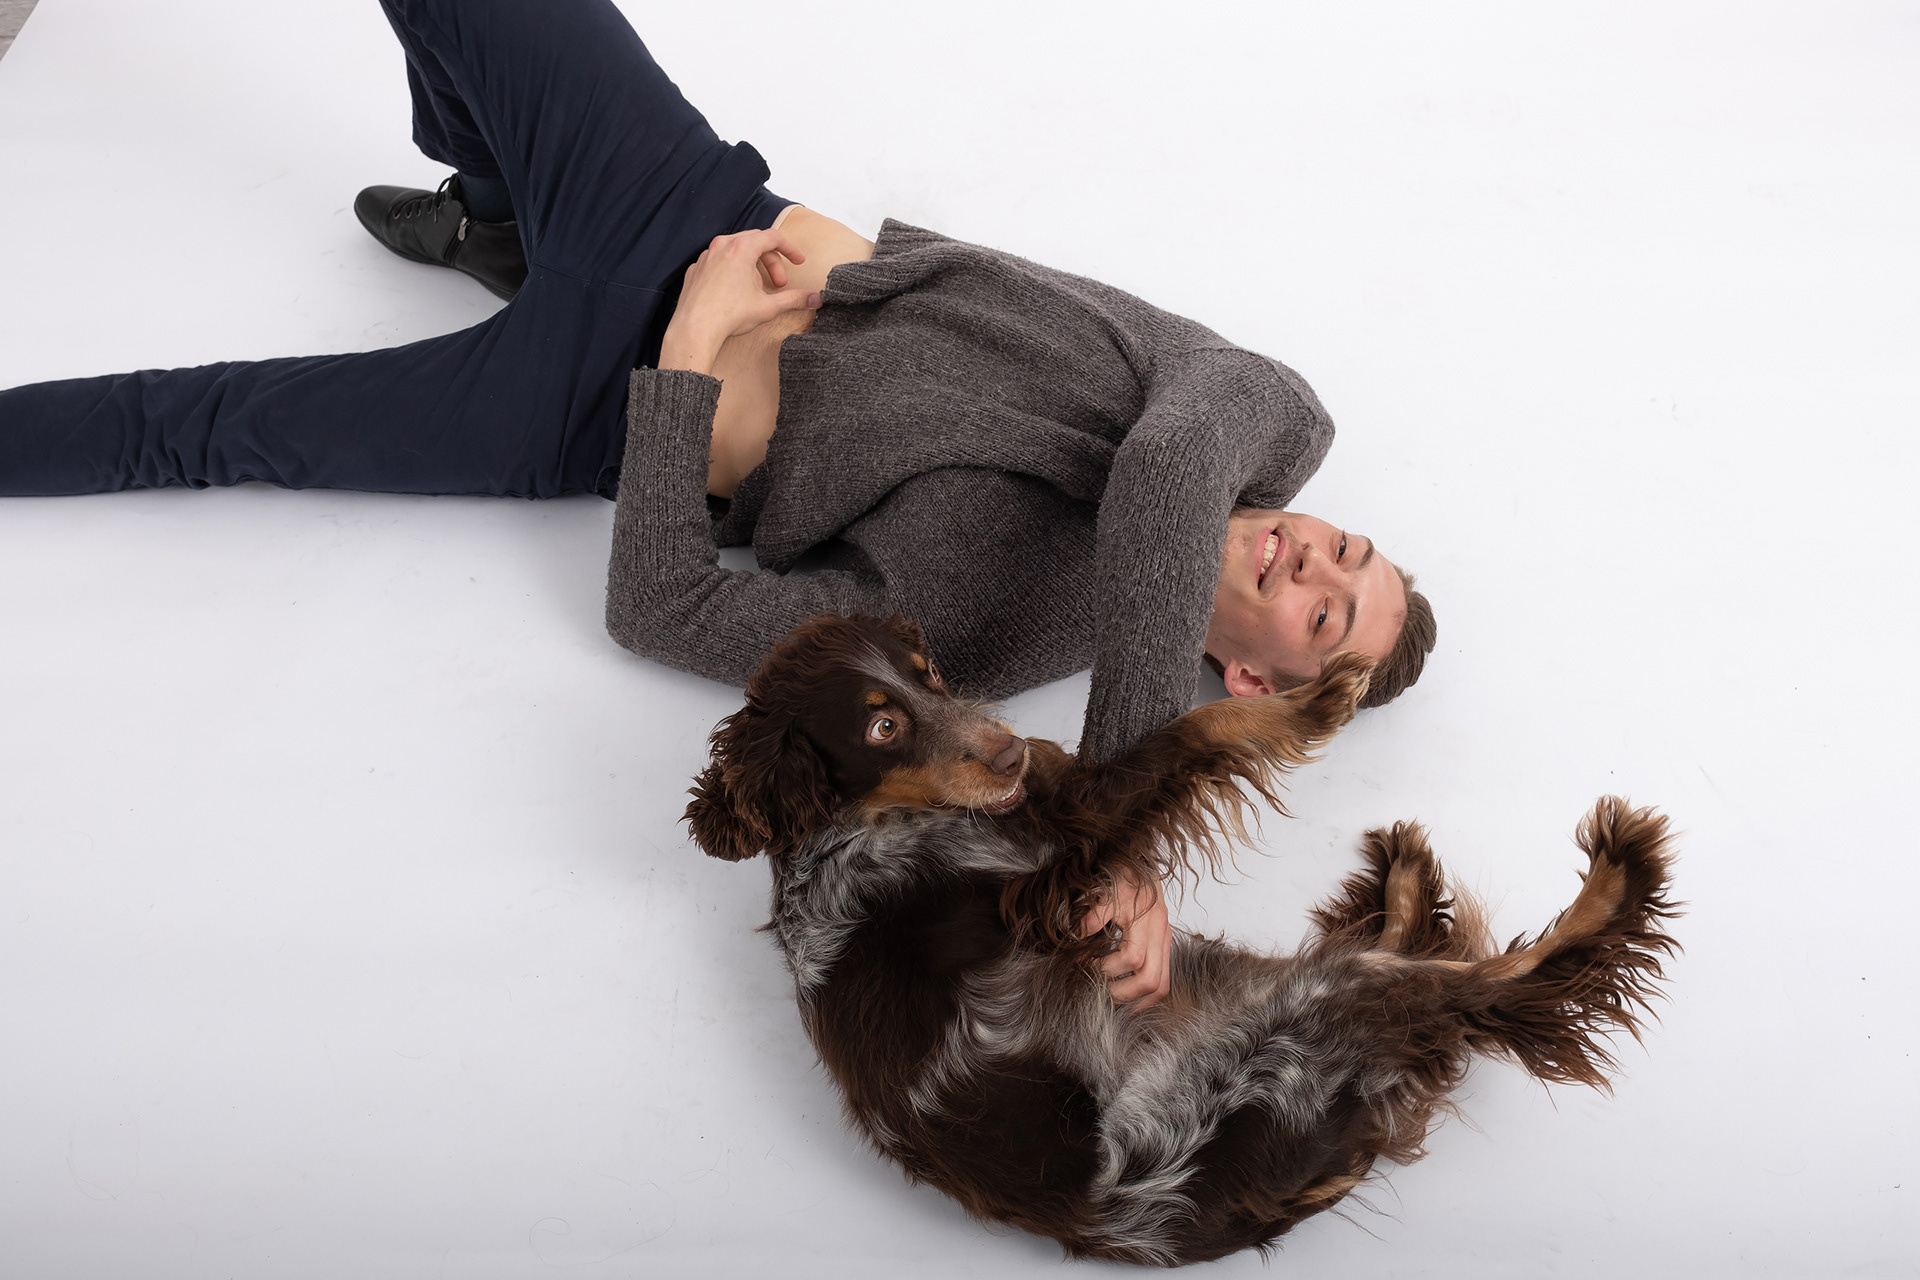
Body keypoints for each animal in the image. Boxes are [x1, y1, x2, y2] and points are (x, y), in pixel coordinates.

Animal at [685, 614, 1679, 1266]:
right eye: (881, 725)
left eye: (929, 673)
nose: (1008, 752)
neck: (855, 832)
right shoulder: (1050, 893)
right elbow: (1196, 728)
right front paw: (1316, 701)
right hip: (1316, 1020)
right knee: (1497, 986)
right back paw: (1617, 870)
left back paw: (1404, 879)